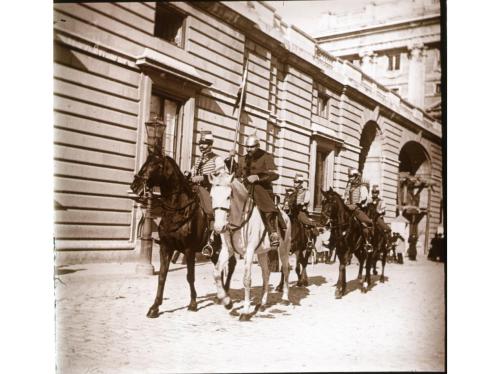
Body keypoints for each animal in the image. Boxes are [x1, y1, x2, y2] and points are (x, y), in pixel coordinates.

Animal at [131, 153, 236, 318]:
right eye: (146, 162)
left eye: (155, 165)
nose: (135, 185)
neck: (178, 209)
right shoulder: (166, 247)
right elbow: (162, 276)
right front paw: (155, 307)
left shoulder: (189, 250)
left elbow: (190, 276)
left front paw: (193, 303)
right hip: (215, 251)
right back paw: (221, 295)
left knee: (231, 265)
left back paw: (225, 295)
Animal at [209, 172, 292, 322]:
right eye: (212, 196)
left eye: (228, 196)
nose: (219, 228)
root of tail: (285, 214)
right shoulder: (227, 250)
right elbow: (217, 272)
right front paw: (227, 302)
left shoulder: (249, 251)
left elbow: (247, 280)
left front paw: (245, 311)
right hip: (262, 253)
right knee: (266, 273)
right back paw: (262, 303)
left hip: (283, 249)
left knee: (286, 270)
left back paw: (285, 298)